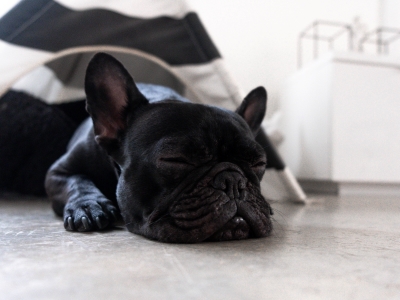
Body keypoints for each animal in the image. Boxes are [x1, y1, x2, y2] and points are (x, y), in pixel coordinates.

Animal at [3, 52, 272, 243]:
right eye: (175, 160)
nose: (234, 181)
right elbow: (77, 181)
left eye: (259, 163)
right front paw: (88, 206)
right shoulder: (57, 172)